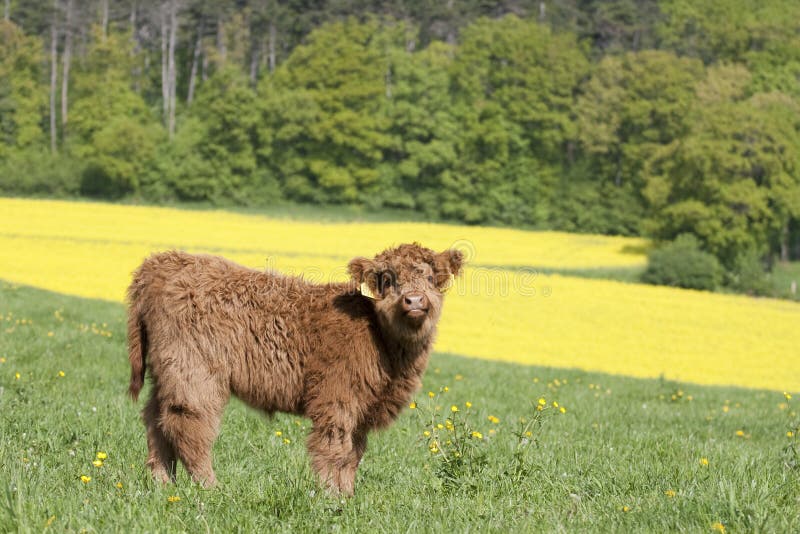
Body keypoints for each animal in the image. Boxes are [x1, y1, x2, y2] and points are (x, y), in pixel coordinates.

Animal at [126, 243, 464, 496]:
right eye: (387, 279)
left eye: (430, 278)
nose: (414, 300)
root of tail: (165, 260)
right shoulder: (336, 400)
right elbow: (334, 449)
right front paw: (332, 498)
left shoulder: (362, 410)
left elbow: (353, 455)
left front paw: (349, 497)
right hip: (195, 374)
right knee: (189, 426)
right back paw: (210, 488)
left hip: (166, 374)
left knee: (156, 421)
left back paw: (162, 483)